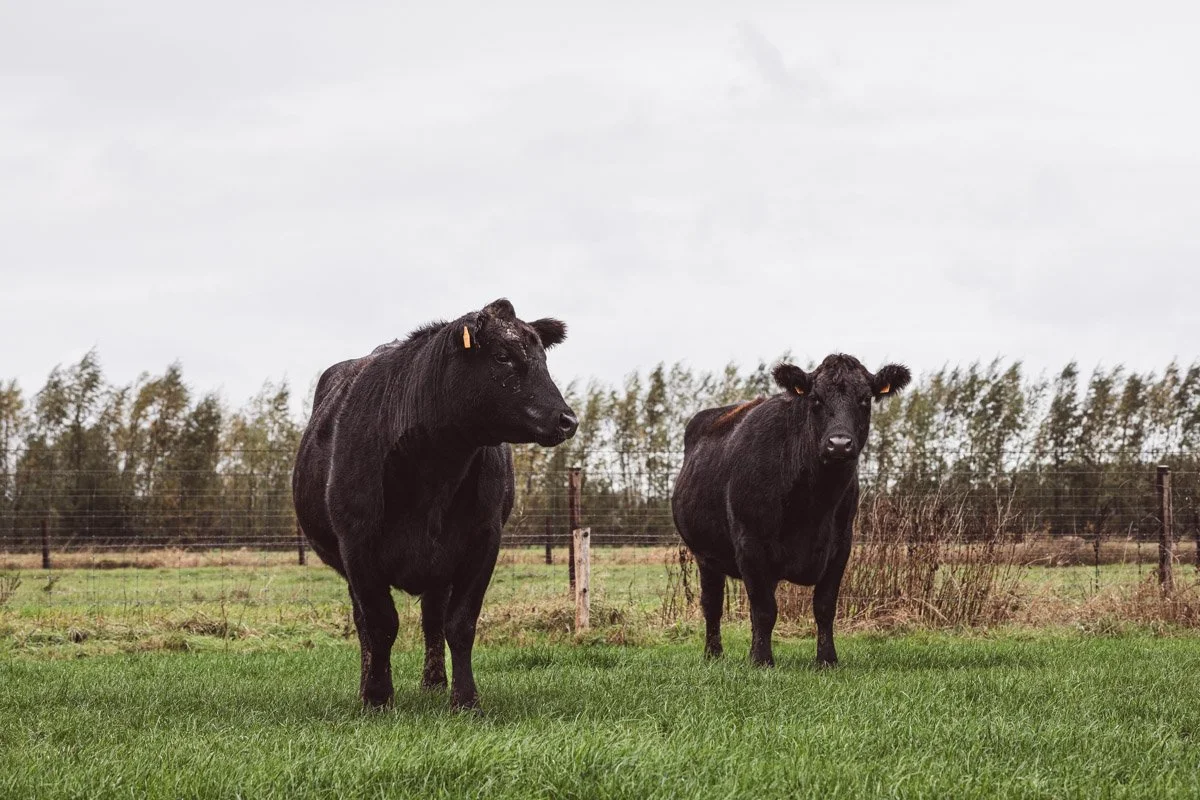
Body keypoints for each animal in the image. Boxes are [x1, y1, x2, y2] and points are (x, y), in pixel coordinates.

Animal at [292, 298, 578, 710]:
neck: (434, 471)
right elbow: (380, 624)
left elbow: (459, 623)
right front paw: (377, 697)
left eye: (543, 358)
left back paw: (434, 681)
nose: (567, 419)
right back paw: (366, 684)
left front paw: (466, 698)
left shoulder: (482, 541)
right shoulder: (357, 544)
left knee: (432, 617)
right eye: (503, 356)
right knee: (364, 624)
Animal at [671, 354, 910, 668]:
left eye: (865, 399)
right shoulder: (750, 544)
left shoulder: (841, 546)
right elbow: (764, 610)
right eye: (816, 399)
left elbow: (824, 607)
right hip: (705, 555)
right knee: (712, 605)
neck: (814, 505)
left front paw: (827, 660)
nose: (840, 444)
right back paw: (713, 654)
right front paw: (762, 661)